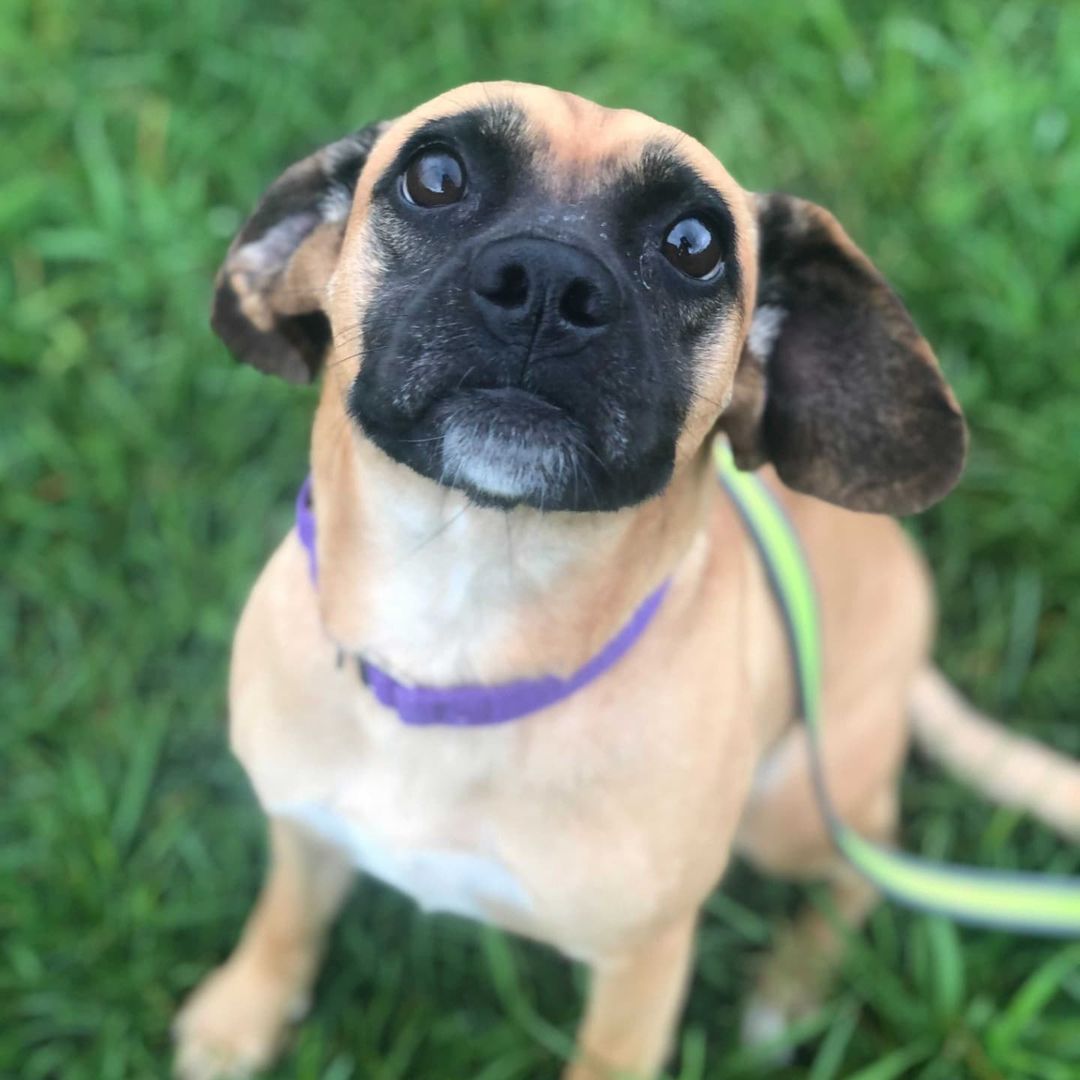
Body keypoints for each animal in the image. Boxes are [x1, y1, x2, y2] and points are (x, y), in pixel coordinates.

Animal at [172, 79, 1080, 1075]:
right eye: (435, 175)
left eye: (694, 243)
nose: (546, 285)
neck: (460, 629)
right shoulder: (301, 825)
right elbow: (286, 918)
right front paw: (243, 1013)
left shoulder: (642, 965)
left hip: (789, 807)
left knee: (869, 854)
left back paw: (793, 985)